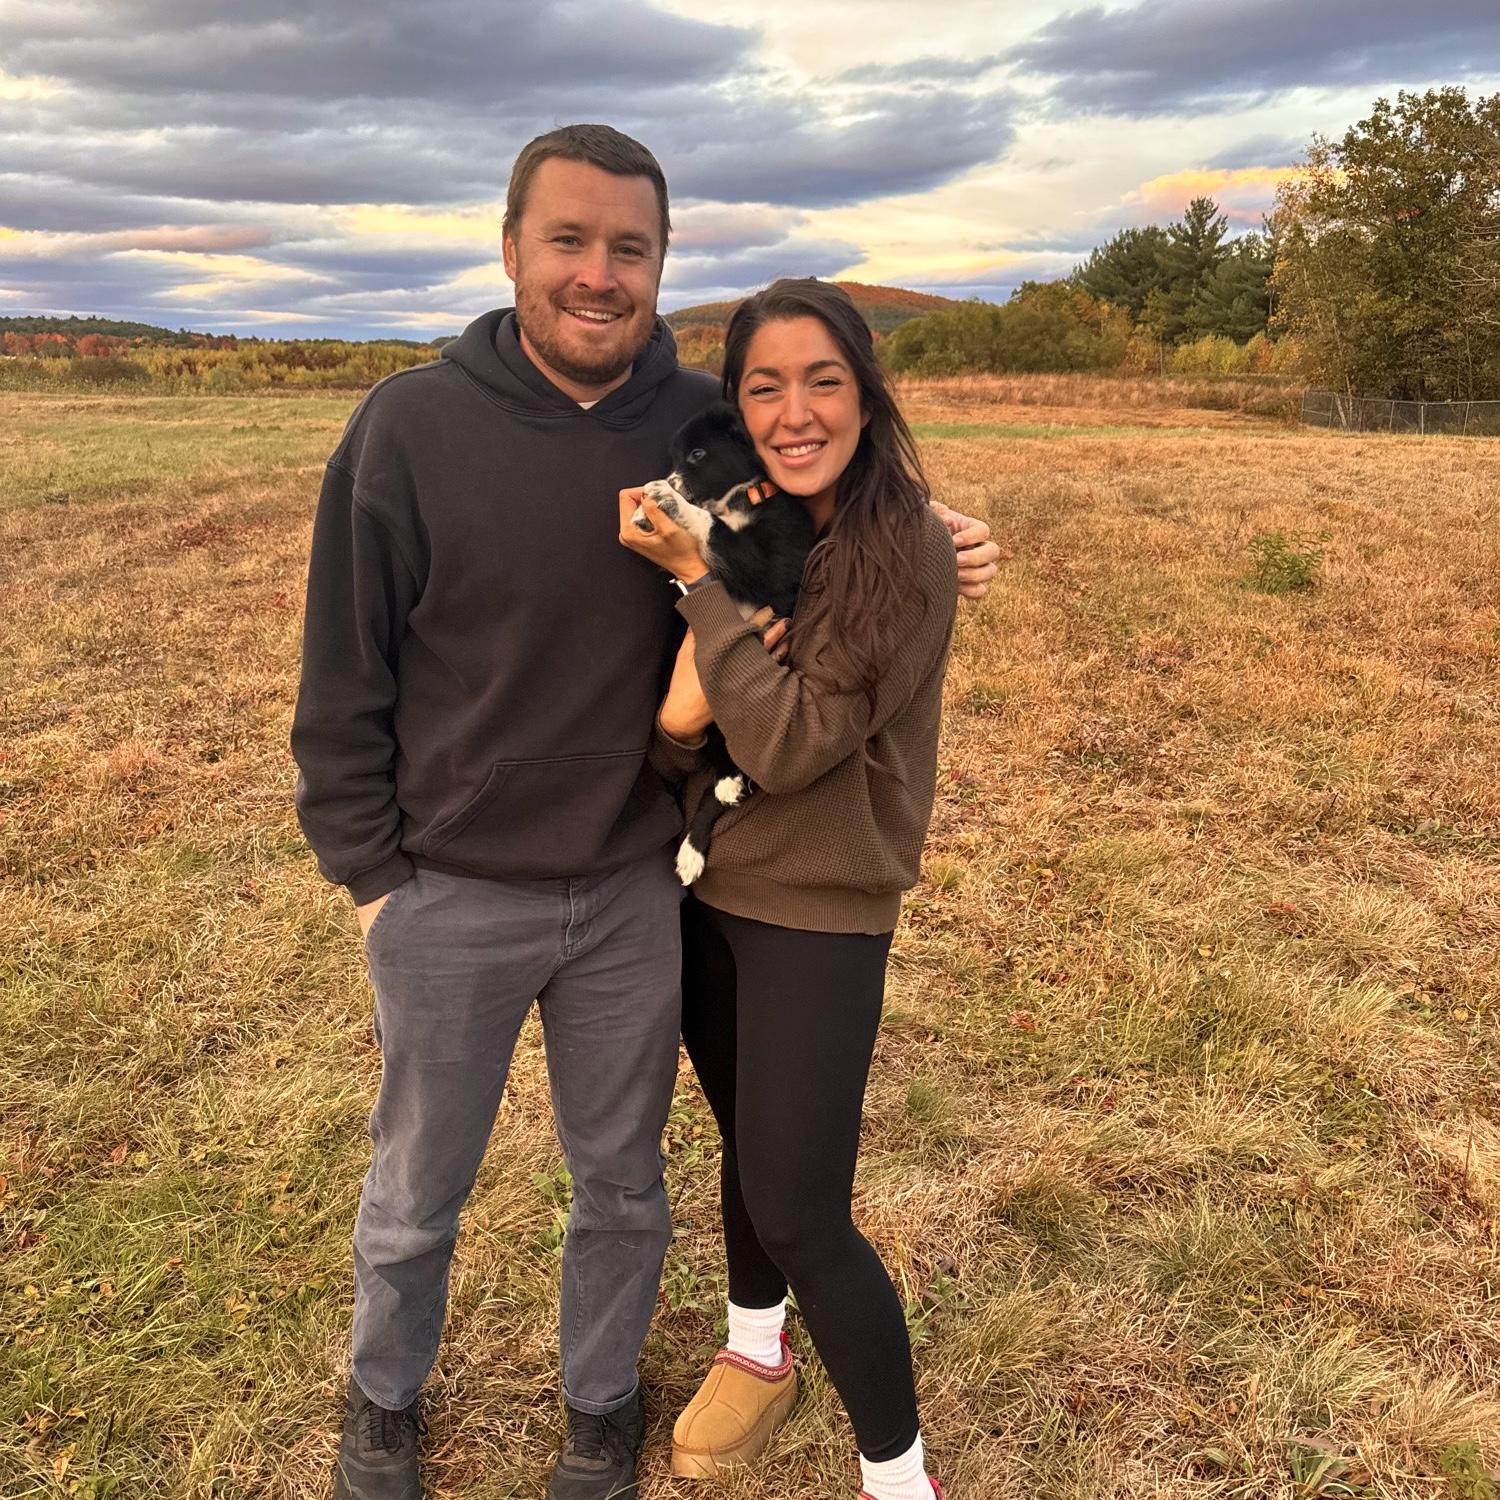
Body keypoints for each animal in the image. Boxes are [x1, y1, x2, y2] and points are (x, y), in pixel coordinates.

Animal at [632, 402, 817, 883]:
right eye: (674, 456)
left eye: (698, 454)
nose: (670, 479)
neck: (740, 499)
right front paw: (648, 510)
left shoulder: (773, 563)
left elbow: (714, 529)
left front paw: (668, 501)